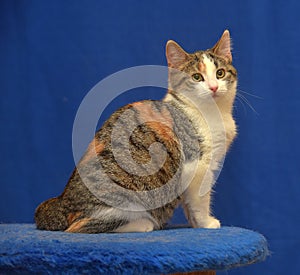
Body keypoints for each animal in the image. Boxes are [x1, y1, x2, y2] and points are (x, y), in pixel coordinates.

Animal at [34, 29, 237, 233]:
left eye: (220, 73)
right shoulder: (196, 165)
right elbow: (199, 199)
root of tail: (62, 200)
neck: (213, 112)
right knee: (80, 227)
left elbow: (189, 203)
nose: (213, 87)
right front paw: (206, 223)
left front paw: (196, 223)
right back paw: (143, 223)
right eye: (197, 77)